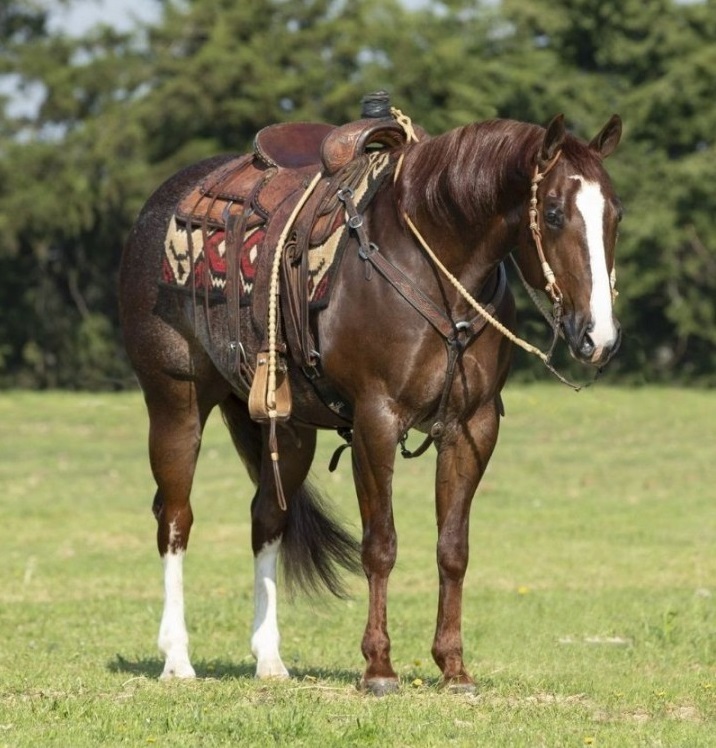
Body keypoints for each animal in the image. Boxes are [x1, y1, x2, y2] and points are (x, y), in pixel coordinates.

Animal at [119, 107, 622, 695]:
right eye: (555, 212)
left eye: (615, 214)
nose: (599, 337)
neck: (433, 263)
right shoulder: (376, 421)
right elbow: (380, 545)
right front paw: (379, 667)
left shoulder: (472, 428)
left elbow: (453, 549)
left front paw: (453, 667)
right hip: (175, 403)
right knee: (175, 519)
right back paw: (177, 659)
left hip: (288, 428)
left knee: (267, 519)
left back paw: (270, 661)